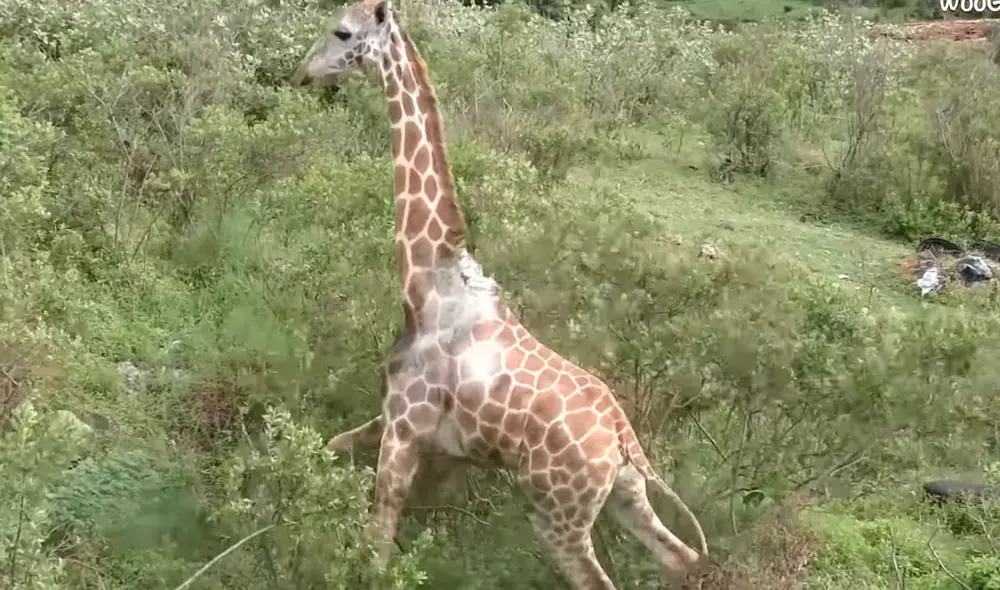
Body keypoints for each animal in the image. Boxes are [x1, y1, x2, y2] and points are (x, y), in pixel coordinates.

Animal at [292, 2, 710, 587]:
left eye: (343, 32)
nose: (305, 73)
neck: (429, 279)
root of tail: (624, 442)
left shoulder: (404, 424)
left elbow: (378, 542)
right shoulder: (418, 431)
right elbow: (332, 449)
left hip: (560, 516)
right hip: (625, 497)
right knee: (681, 556)